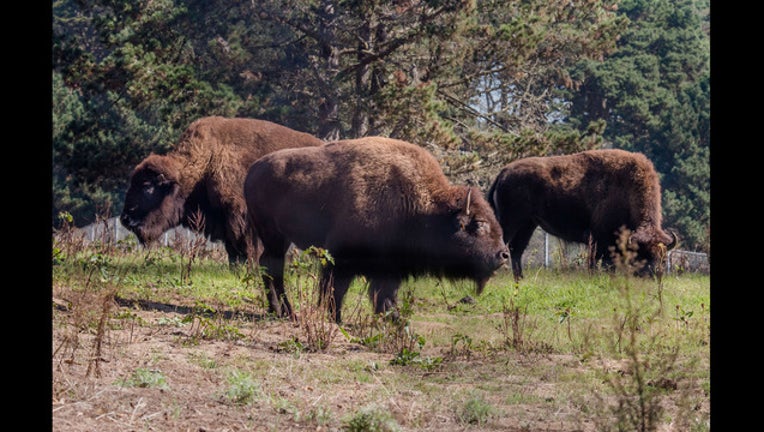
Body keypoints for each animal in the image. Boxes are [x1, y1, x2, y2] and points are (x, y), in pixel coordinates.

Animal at [118, 115, 322, 264]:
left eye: (147, 186)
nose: (125, 219)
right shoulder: (225, 221)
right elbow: (233, 248)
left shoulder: (241, 218)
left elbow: (247, 247)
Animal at [243, 137, 508, 322]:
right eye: (478, 224)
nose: (503, 254)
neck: (423, 207)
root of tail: (253, 170)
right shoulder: (341, 259)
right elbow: (335, 291)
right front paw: (336, 320)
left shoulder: (389, 267)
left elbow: (385, 296)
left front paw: (394, 319)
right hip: (274, 235)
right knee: (273, 267)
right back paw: (287, 312)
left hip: (279, 238)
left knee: (270, 266)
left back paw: (279, 311)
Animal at [486, 148, 676, 280]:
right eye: (644, 255)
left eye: (663, 258)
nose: (655, 275)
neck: (627, 190)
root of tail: (503, 173)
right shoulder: (600, 239)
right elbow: (599, 262)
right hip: (510, 222)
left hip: (528, 224)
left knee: (516, 249)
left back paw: (520, 278)